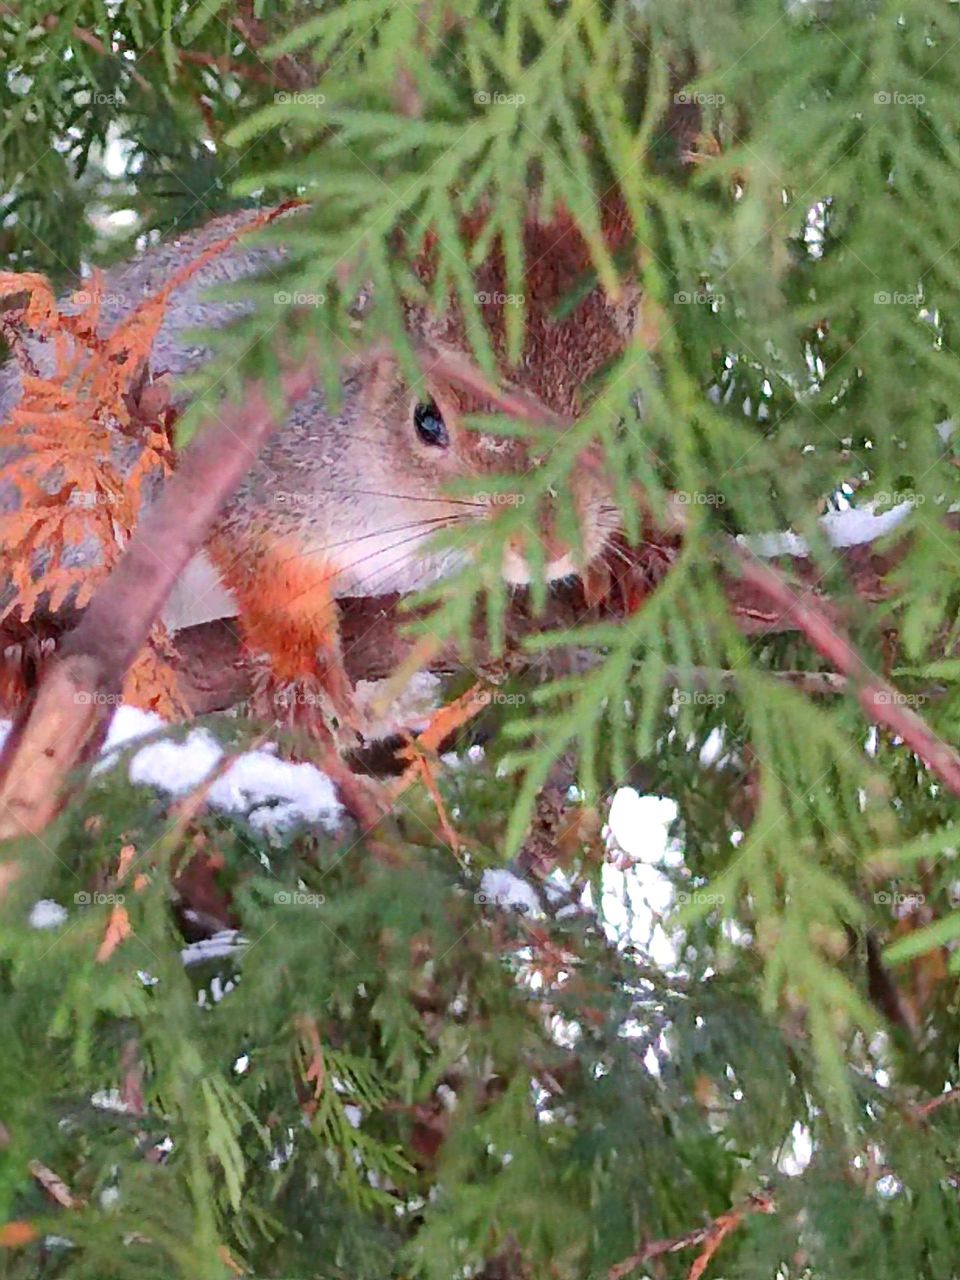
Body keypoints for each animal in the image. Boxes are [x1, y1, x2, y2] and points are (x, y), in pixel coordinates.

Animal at [3, 199, 642, 737]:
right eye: (427, 421)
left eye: (620, 416)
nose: (553, 544)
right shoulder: (251, 477)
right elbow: (273, 579)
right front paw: (306, 662)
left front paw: (616, 567)